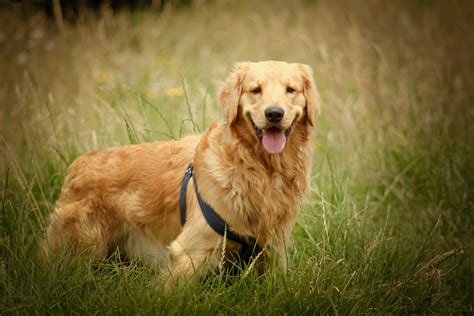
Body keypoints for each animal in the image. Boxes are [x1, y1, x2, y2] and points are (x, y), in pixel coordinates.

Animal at [44, 60, 320, 286]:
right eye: (256, 90)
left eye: (290, 89)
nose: (274, 113)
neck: (257, 168)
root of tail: (79, 164)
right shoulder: (188, 252)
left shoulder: (274, 248)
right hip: (81, 247)